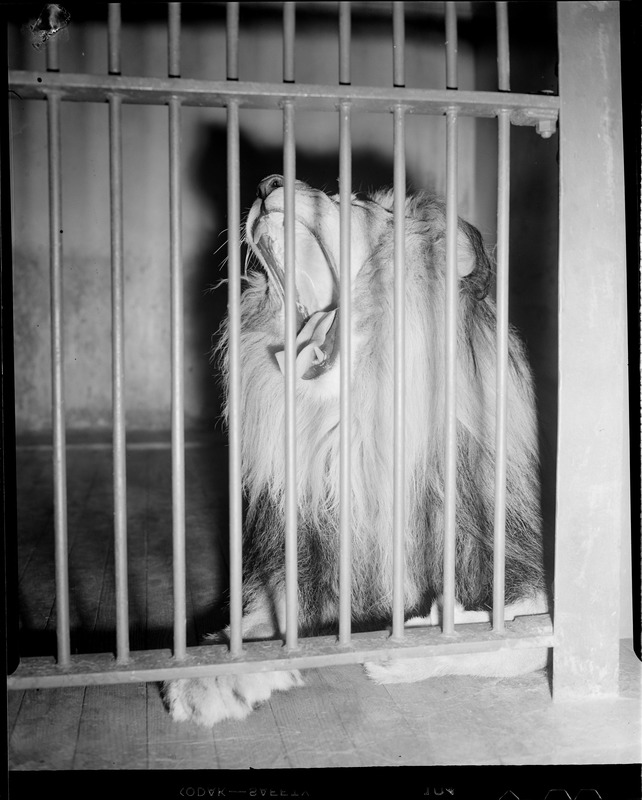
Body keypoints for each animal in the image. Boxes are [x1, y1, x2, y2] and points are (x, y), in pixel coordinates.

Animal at [162, 175, 548, 724]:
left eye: (357, 202)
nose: (266, 184)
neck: (356, 440)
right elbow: (261, 618)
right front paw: (210, 673)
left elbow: (520, 639)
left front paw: (414, 639)